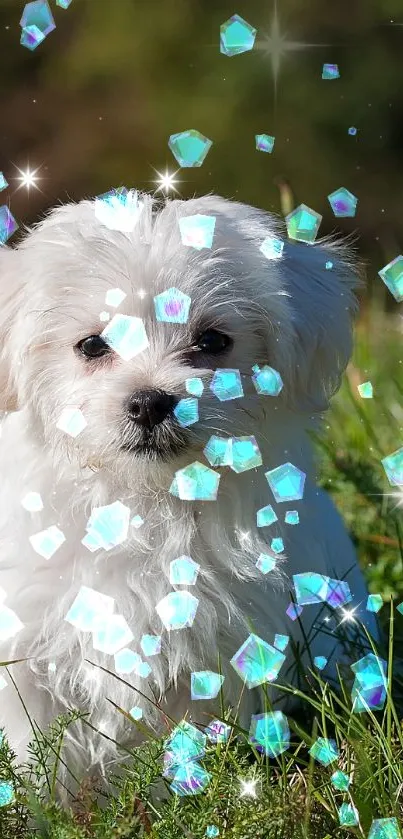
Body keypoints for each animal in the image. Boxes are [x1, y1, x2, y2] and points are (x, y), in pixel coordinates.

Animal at [0, 194, 376, 792]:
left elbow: (184, 738)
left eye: (213, 341)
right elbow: (36, 747)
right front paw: (40, 802)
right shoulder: (27, 648)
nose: (150, 401)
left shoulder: (218, 652)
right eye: (91, 345)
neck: (143, 505)